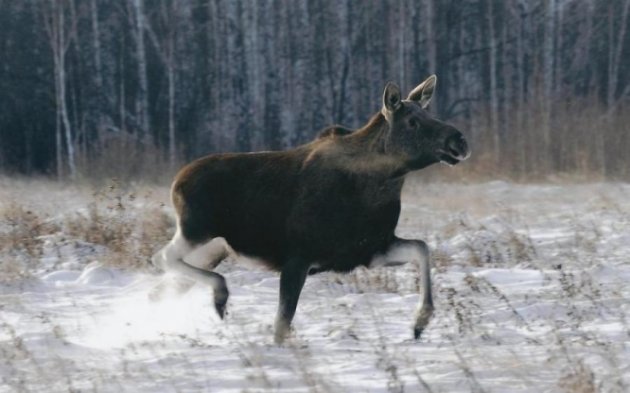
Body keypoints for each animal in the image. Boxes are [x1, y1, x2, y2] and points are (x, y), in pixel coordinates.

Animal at [152, 76, 470, 344]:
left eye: (429, 114)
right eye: (413, 121)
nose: (459, 140)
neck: (381, 184)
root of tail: (177, 180)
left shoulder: (369, 249)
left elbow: (422, 248)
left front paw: (420, 322)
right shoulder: (298, 257)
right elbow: (281, 324)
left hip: (212, 249)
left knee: (163, 285)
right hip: (195, 230)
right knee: (162, 258)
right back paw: (219, 295)